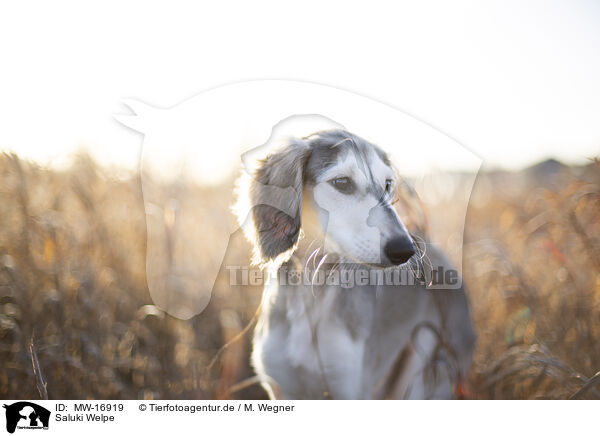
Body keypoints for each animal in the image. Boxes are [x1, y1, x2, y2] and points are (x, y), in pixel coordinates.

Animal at [234, 129, 474, 398]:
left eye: (387, 184)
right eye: (342, 182)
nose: (405, 250)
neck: (311, 291)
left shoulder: (349, 386)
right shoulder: (281, 386)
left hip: (428, 370)